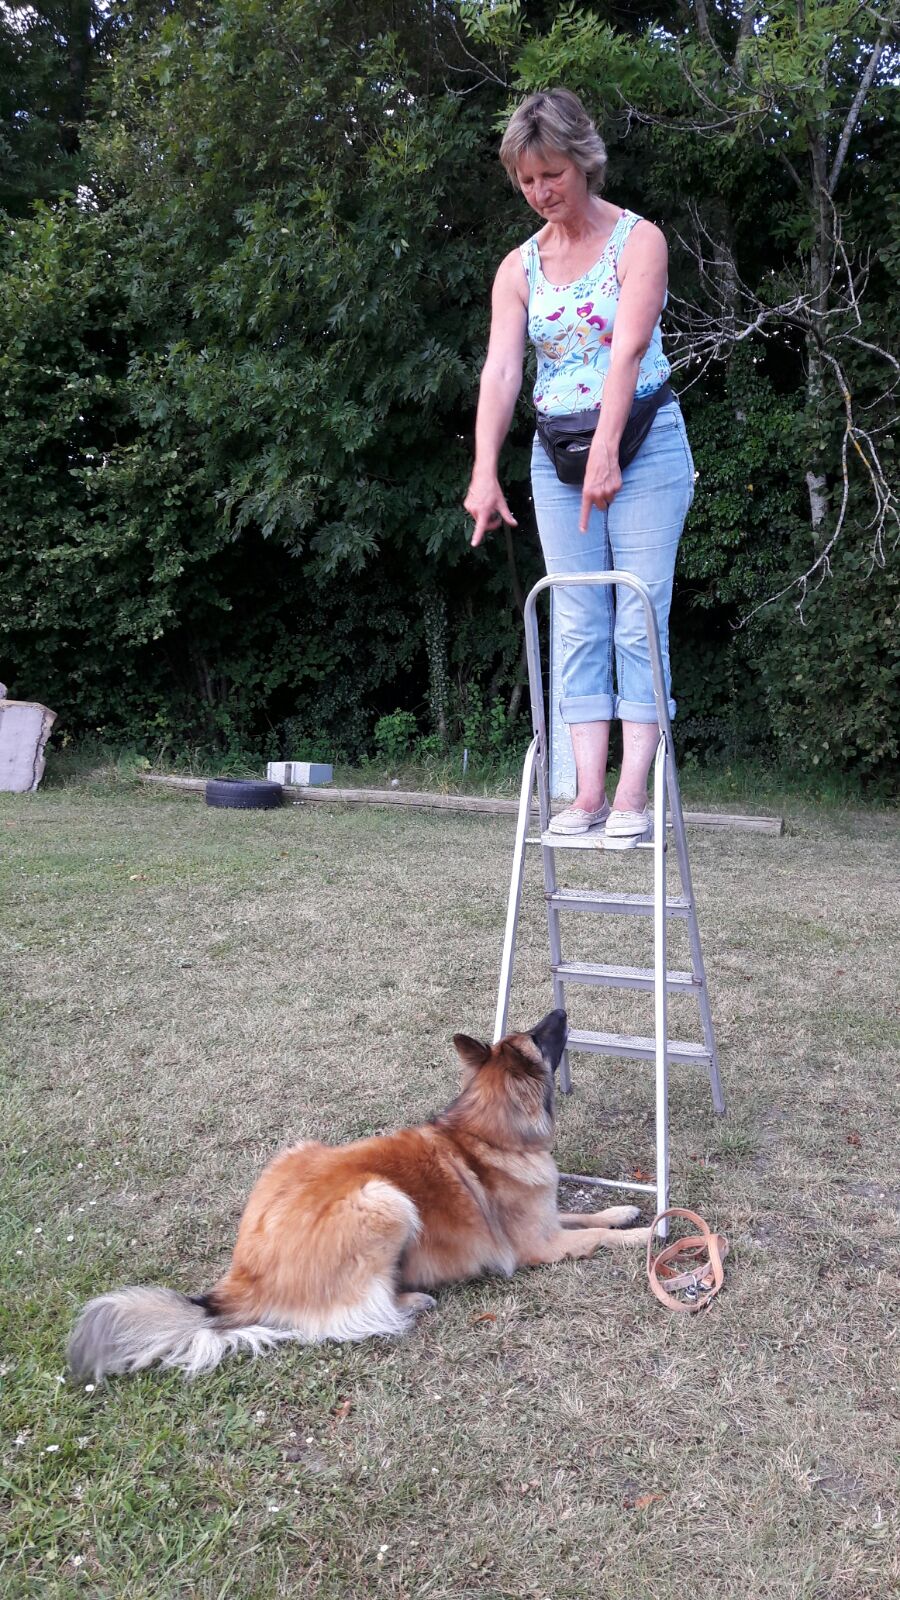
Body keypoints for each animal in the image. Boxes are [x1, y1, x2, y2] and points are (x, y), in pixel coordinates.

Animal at [68, 1009, 650, 1380]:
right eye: (539, 1034)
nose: (561, 1007)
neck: (488, 1132)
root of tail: (242, 1279)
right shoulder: (539, 1246)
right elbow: (596, 1237)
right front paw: (646, 1235)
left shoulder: (549, 1220)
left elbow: (589, 1215)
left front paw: (626, 1210)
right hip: (385, 1201)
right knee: (355, 1316)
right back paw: (410, 1300)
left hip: (299, 1151)